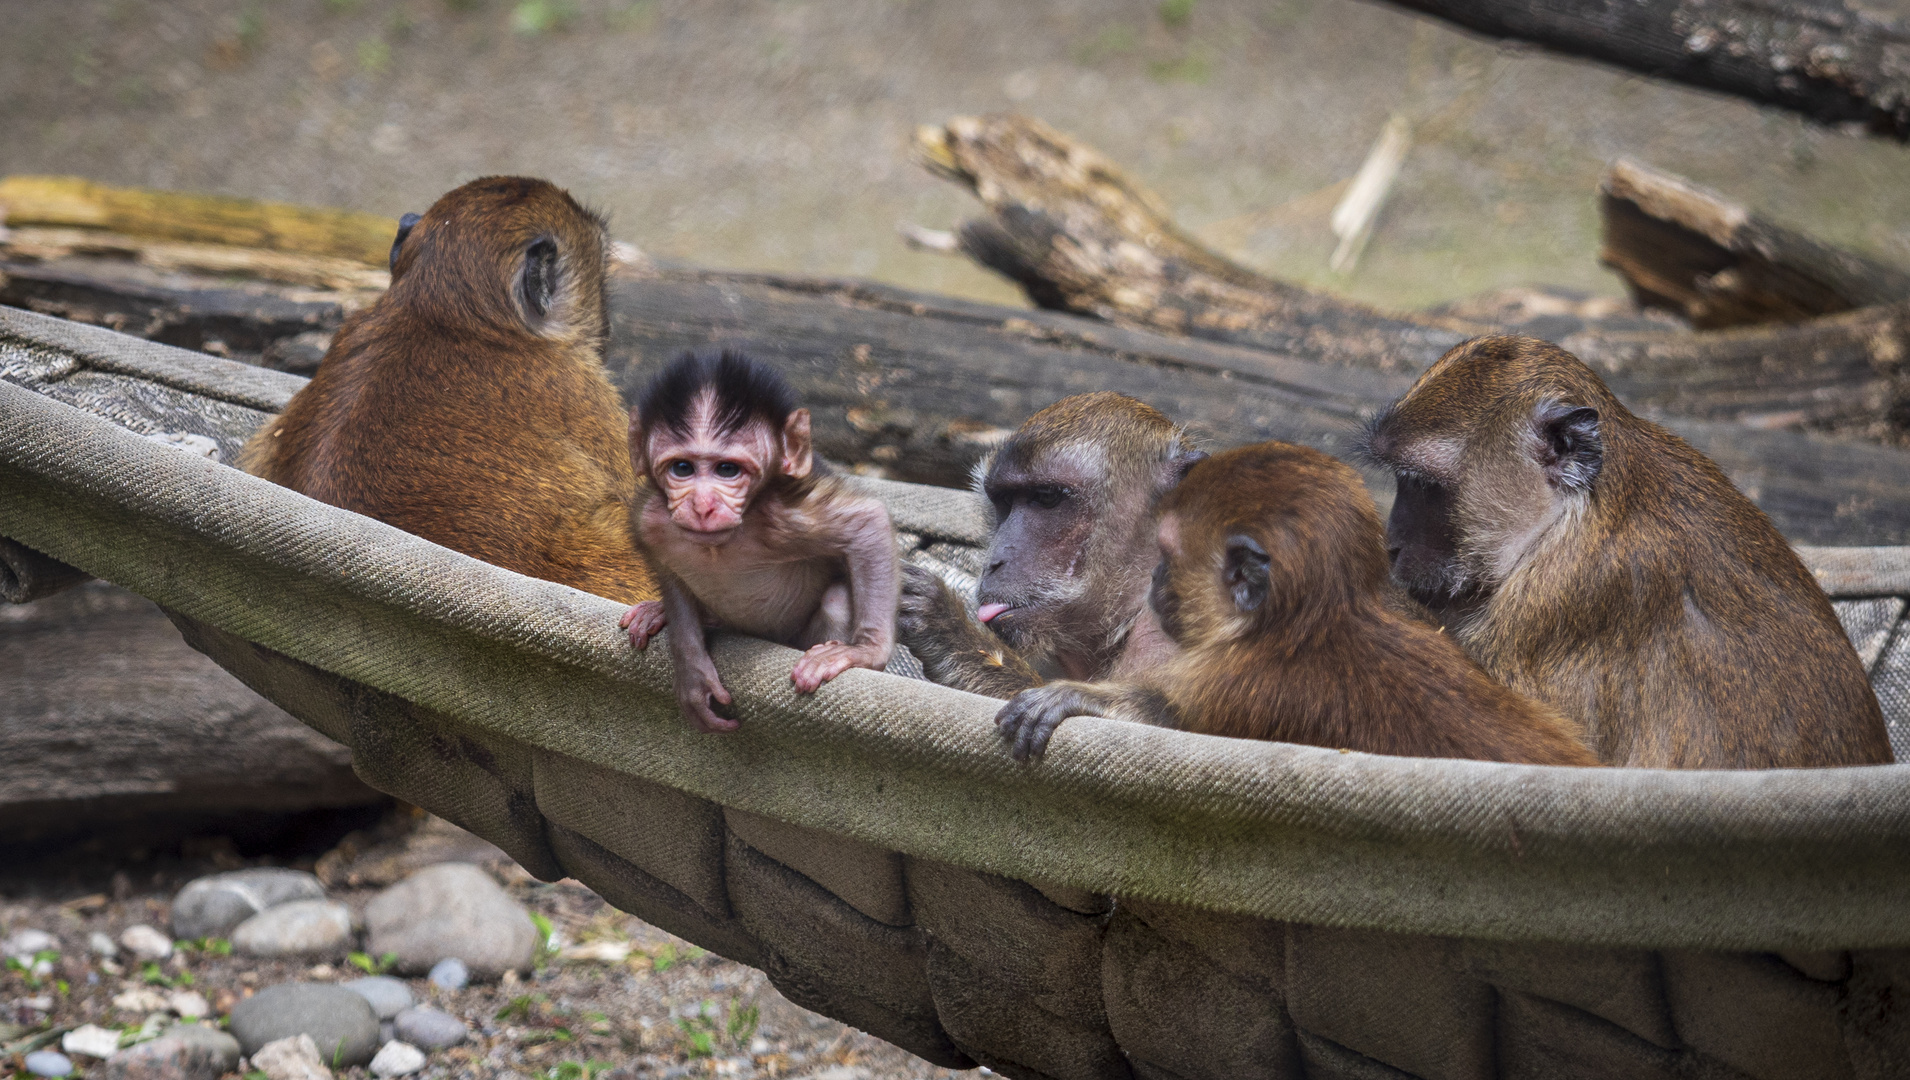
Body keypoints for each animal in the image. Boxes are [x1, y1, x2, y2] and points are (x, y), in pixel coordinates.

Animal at [618, 349, 901, 730]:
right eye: (682, 468)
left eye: (727, 470)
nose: (703, 506)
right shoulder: (651, 521)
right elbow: (668, 572)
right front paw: (693, 672)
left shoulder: (783, 516)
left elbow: (869, 523)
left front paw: (863, 652)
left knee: (837, 599)